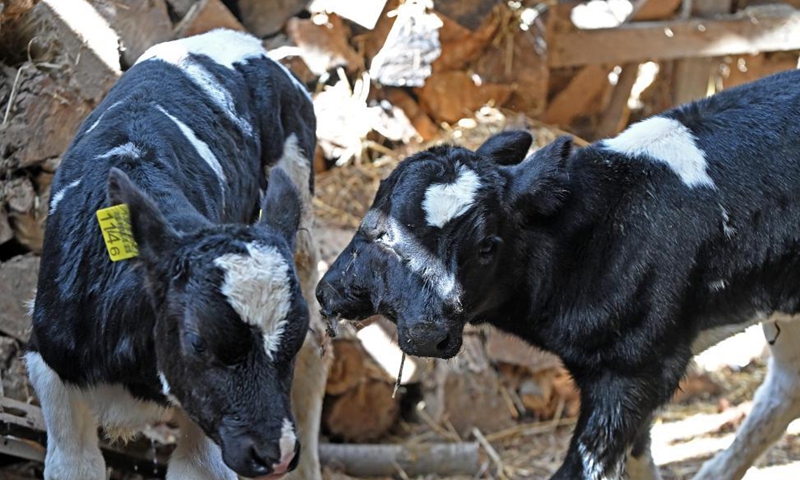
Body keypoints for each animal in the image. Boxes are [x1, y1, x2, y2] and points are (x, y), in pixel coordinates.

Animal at [28, 29, 318, 480]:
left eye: (293, 339)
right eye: (198, 341)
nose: (277, 453)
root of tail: (246, 42)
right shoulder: (50, 364)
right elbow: (75, 463)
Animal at [318, 68, 800, 480]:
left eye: (487, 245)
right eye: (376, 230)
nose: (425, 332)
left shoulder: (636, 368)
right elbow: (640, 455)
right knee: (784, 389)